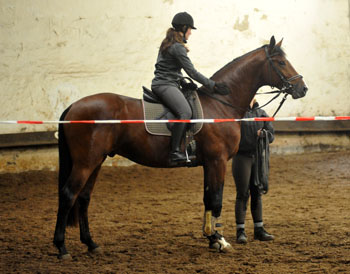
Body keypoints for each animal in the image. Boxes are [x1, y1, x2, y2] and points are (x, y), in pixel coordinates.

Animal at [52, 36, 306, 260]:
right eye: (281, 62)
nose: (302, 88)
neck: (219, 105)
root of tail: (74, 106)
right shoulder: (218, 161)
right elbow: (216, 199)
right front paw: (220, 240)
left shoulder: (209, 164)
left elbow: (208, 199)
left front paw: (211, 238)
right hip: (86, 162)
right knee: (68, 195)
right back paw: (62, 247)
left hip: (97, 160)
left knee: (84, 198)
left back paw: (91, 244)